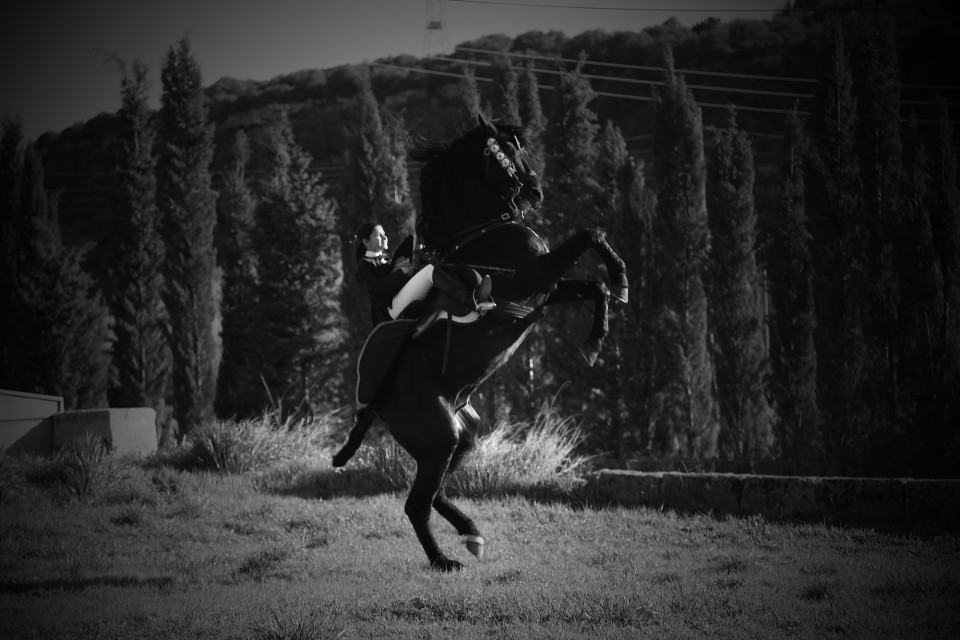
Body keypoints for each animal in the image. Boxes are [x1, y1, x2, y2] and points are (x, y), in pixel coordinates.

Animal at [334, 114, 628, 568]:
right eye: (506, 150)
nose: (535, 192)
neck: (485, 230)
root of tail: (377, 401)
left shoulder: (543, 290)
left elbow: (593, 285)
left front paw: (596, 337)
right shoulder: (537, 274)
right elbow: (589, 235)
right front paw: (621, 277)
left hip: (463, 437)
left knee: (435, 492)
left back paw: (470, 531)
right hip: (439, 439)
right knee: (416, 504)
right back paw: (444, 561)